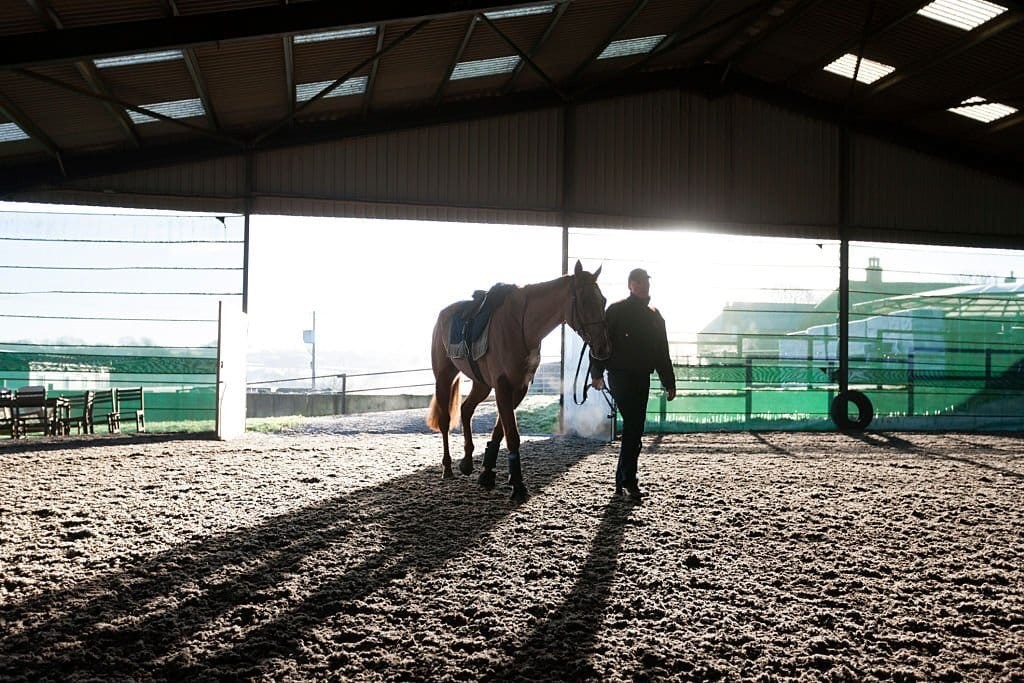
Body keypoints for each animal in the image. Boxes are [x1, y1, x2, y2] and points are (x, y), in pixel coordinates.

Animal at [423, 262, 606, 501]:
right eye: (585, 301)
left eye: (603, 300)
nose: (603, 348)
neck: (523, 326)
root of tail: (443, 314)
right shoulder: (503, 386)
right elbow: (511, 434)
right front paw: (517, 485)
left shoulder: (519, 388)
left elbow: (500, 431)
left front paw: (487, 473)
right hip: (444, 377)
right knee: (445, 421)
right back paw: (447, 467)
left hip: (482, 385)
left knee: (466, 409)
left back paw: (467, 462)